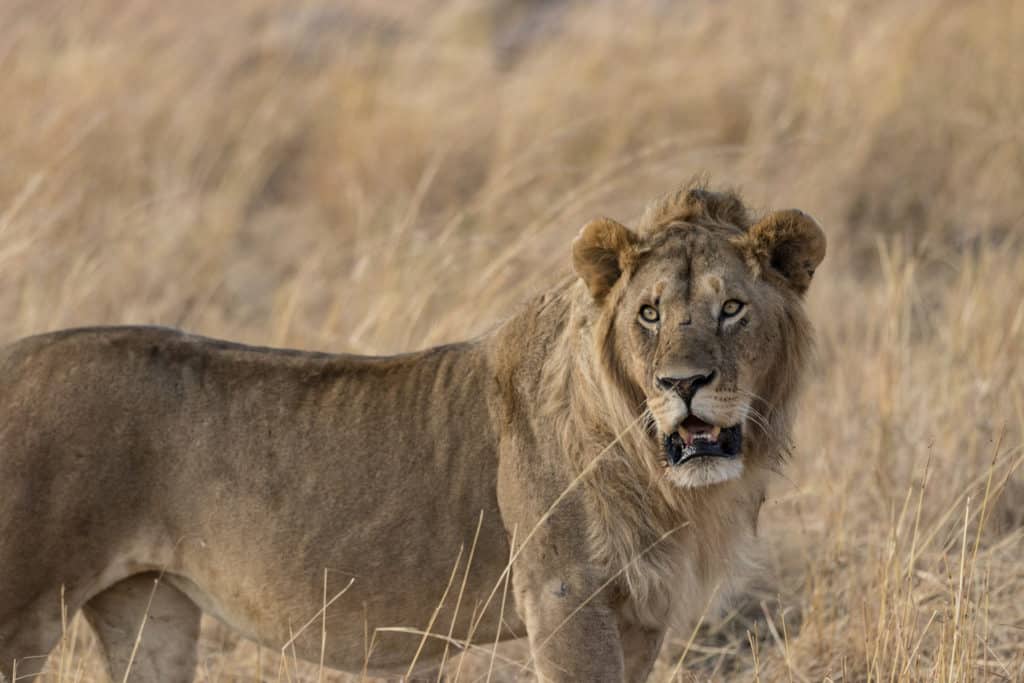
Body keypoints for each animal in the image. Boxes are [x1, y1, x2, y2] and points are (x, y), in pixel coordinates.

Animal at [0, 185, 825, 682]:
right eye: (649, 313)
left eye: (732, 308)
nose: (682, 384)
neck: (656, 470)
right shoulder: (563, 593)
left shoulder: (641, 611)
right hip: (22, 610)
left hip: (148, 607)